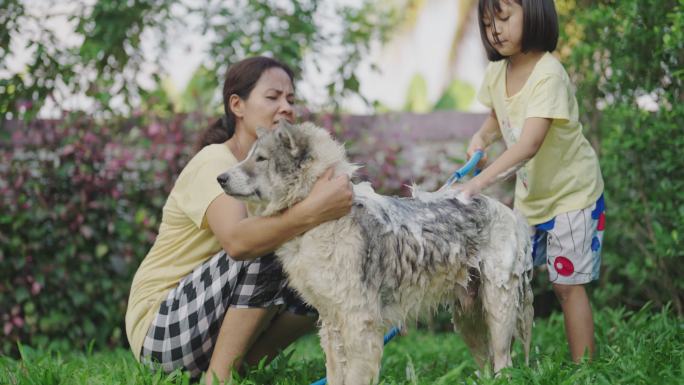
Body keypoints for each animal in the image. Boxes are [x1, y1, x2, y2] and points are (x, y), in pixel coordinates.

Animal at [219, 121, 536, 382]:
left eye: (261, 159)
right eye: (249, 155)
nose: (220, 178)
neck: (324, 218)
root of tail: (505, 210)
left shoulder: (360, 323)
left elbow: (355, 377)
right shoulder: (332, 323)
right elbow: (335, 376)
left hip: (498, 307)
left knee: (504, 362)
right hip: (468, 317)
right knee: (487, 365)